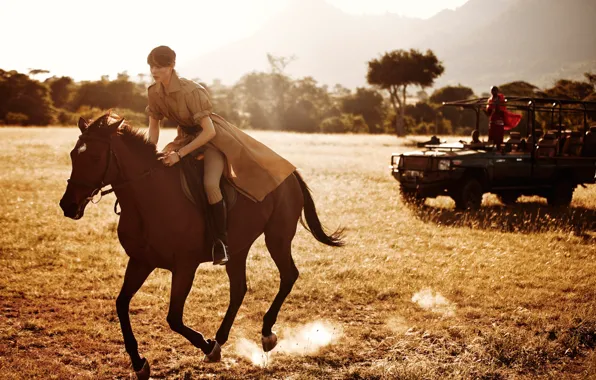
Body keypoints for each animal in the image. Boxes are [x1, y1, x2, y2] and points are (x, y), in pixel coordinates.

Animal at [59, 114, 344, 378]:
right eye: (73, 155)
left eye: (95, 157)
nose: (68, 206)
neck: (149, 197)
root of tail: (289, 175)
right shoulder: (141, 261)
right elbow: (121, 304)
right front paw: (139, 363)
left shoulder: (185, 267)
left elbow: (174, 317)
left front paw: (206, 347)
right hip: (238, 248)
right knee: (239, 289)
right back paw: (221, 338)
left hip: (278, 237)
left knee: (288, 275)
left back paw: (265, 334)